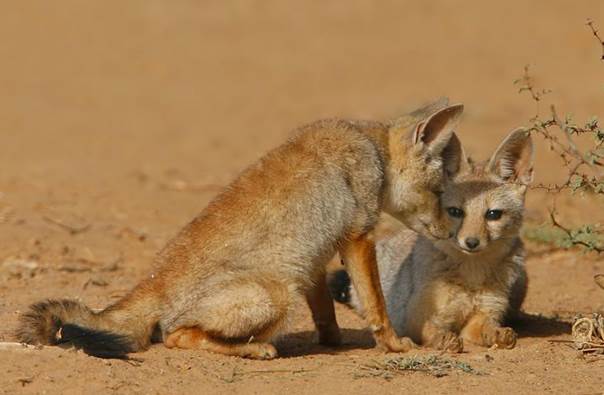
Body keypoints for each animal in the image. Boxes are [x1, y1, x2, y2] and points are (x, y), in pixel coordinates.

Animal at [17, 100, 462, 358]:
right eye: (442, 194)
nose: (453, 236)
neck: (371, 148)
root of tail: (153, 284)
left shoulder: (316, 259)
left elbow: (326, 317)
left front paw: (337, 342)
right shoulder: (357, 238)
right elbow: (377, 308)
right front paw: (393, 345)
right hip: (278, 296)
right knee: (174, 336)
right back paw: (257, 349)